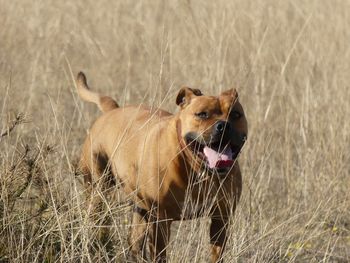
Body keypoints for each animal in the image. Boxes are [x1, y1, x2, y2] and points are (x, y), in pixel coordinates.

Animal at [75, 71, 247, 262]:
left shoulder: (221, 218)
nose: (224, 125)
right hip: (98, 191)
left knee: (134, 242)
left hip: (140, 209)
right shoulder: (161, 220)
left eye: (236, 114)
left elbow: (216, 254)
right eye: (202, 114)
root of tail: (112, 110)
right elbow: (160, 255)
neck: (198, 169)